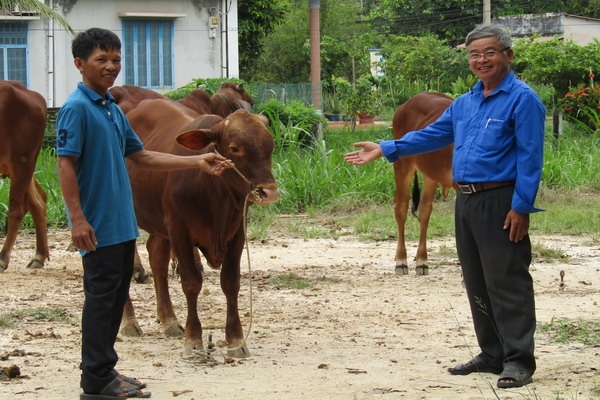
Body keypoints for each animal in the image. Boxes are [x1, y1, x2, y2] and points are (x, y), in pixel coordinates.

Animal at [0, 81, 49, 272]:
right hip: (18, 165)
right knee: (38, 200)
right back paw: (39, 256)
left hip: (23, 160)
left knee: (17, 209)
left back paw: (3, 258)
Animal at [123, 101, 282, 360]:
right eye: (235, 148)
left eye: (270, 144)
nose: (269, 192)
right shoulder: (179, 230)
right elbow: (191, 282)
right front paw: (194, 340)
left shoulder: (237, 233)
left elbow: (231, 283)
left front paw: (236, 340)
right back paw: (129, 322)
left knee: (157, 258)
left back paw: (169, 320)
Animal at [392, 93, 452, 276]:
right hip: (402, 165)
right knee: (401, 208)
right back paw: (401, 261)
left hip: (429, 174)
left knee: (425, 210)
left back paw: (421, 261)